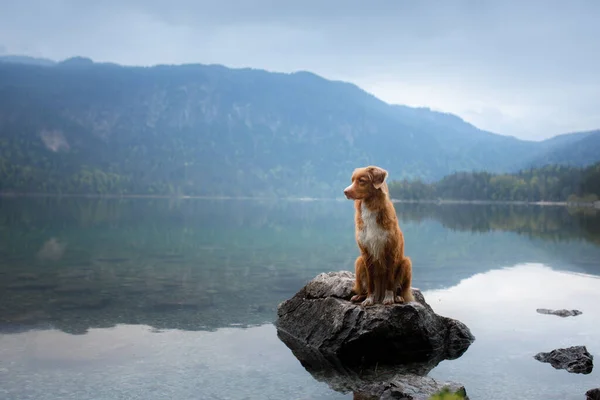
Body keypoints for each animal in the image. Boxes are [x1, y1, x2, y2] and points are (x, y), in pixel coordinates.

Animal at [344, 166, 414, 306]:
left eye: (361, 180)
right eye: (352, 180)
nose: (345, 192)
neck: (370, 206)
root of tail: (379, 293)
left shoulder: (391, 251)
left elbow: (390, 279)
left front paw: (389, 298)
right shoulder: (366, 253)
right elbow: (370, 281)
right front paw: (369, 299)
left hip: (406, 263)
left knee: (399, 288)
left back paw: (397, 297)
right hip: (359, 262)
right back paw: (360, 296)